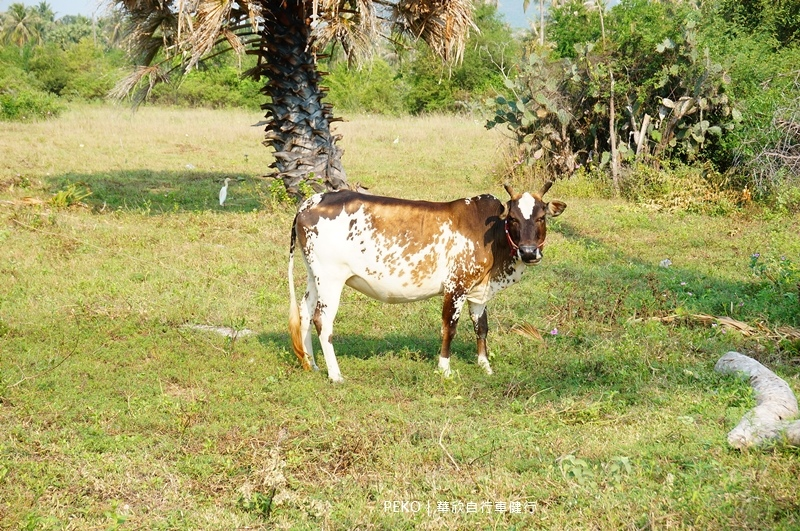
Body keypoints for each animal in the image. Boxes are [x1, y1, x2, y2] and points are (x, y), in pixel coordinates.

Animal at [286, 184, 564, 382]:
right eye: (514, 218)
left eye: (541, 217)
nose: (529, 252)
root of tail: (312, 200)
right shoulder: (456, 287)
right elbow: (449, 329)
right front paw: (445, 369)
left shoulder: (478, 290)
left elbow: (482, 328)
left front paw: (485, 366)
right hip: (331, 278)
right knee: (322, 320)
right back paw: (335, 374)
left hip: (314, 275)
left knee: (305, 313)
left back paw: (312, 364)